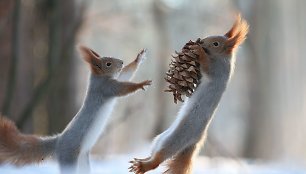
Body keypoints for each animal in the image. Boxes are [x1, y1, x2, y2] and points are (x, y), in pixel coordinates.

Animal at [129, 14, 249, 174]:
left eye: (216, 43)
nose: (201, 41)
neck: (223, 58)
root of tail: (195, 142)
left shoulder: (217, 69)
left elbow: (207, 66)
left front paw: (198, 50)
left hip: (174, 140)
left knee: (158, 160)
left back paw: (143, 166)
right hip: (160, 139)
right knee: (154, 155)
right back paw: (141, 161)